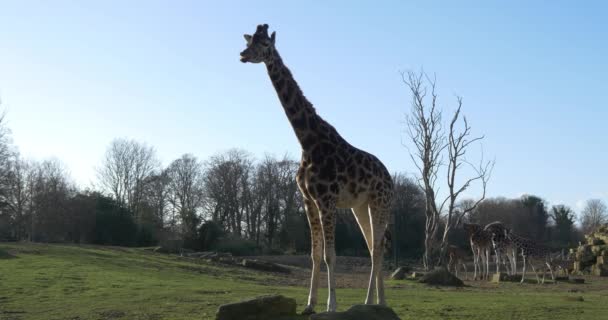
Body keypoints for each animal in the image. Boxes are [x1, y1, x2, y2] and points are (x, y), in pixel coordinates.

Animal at [240, 24, 396, 312]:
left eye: (265, 44)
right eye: (249, 40)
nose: (243, 55)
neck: (307, 141)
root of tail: (391, 180)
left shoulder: (327, 200)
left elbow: (330, 255)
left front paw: (331, 305)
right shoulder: (308, 200)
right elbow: (314, 254)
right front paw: (310, 304)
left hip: (380, 203)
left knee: (378, 248)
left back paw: (370, 301)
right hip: (361, 206)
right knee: (373, 247)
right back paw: (379, 302)